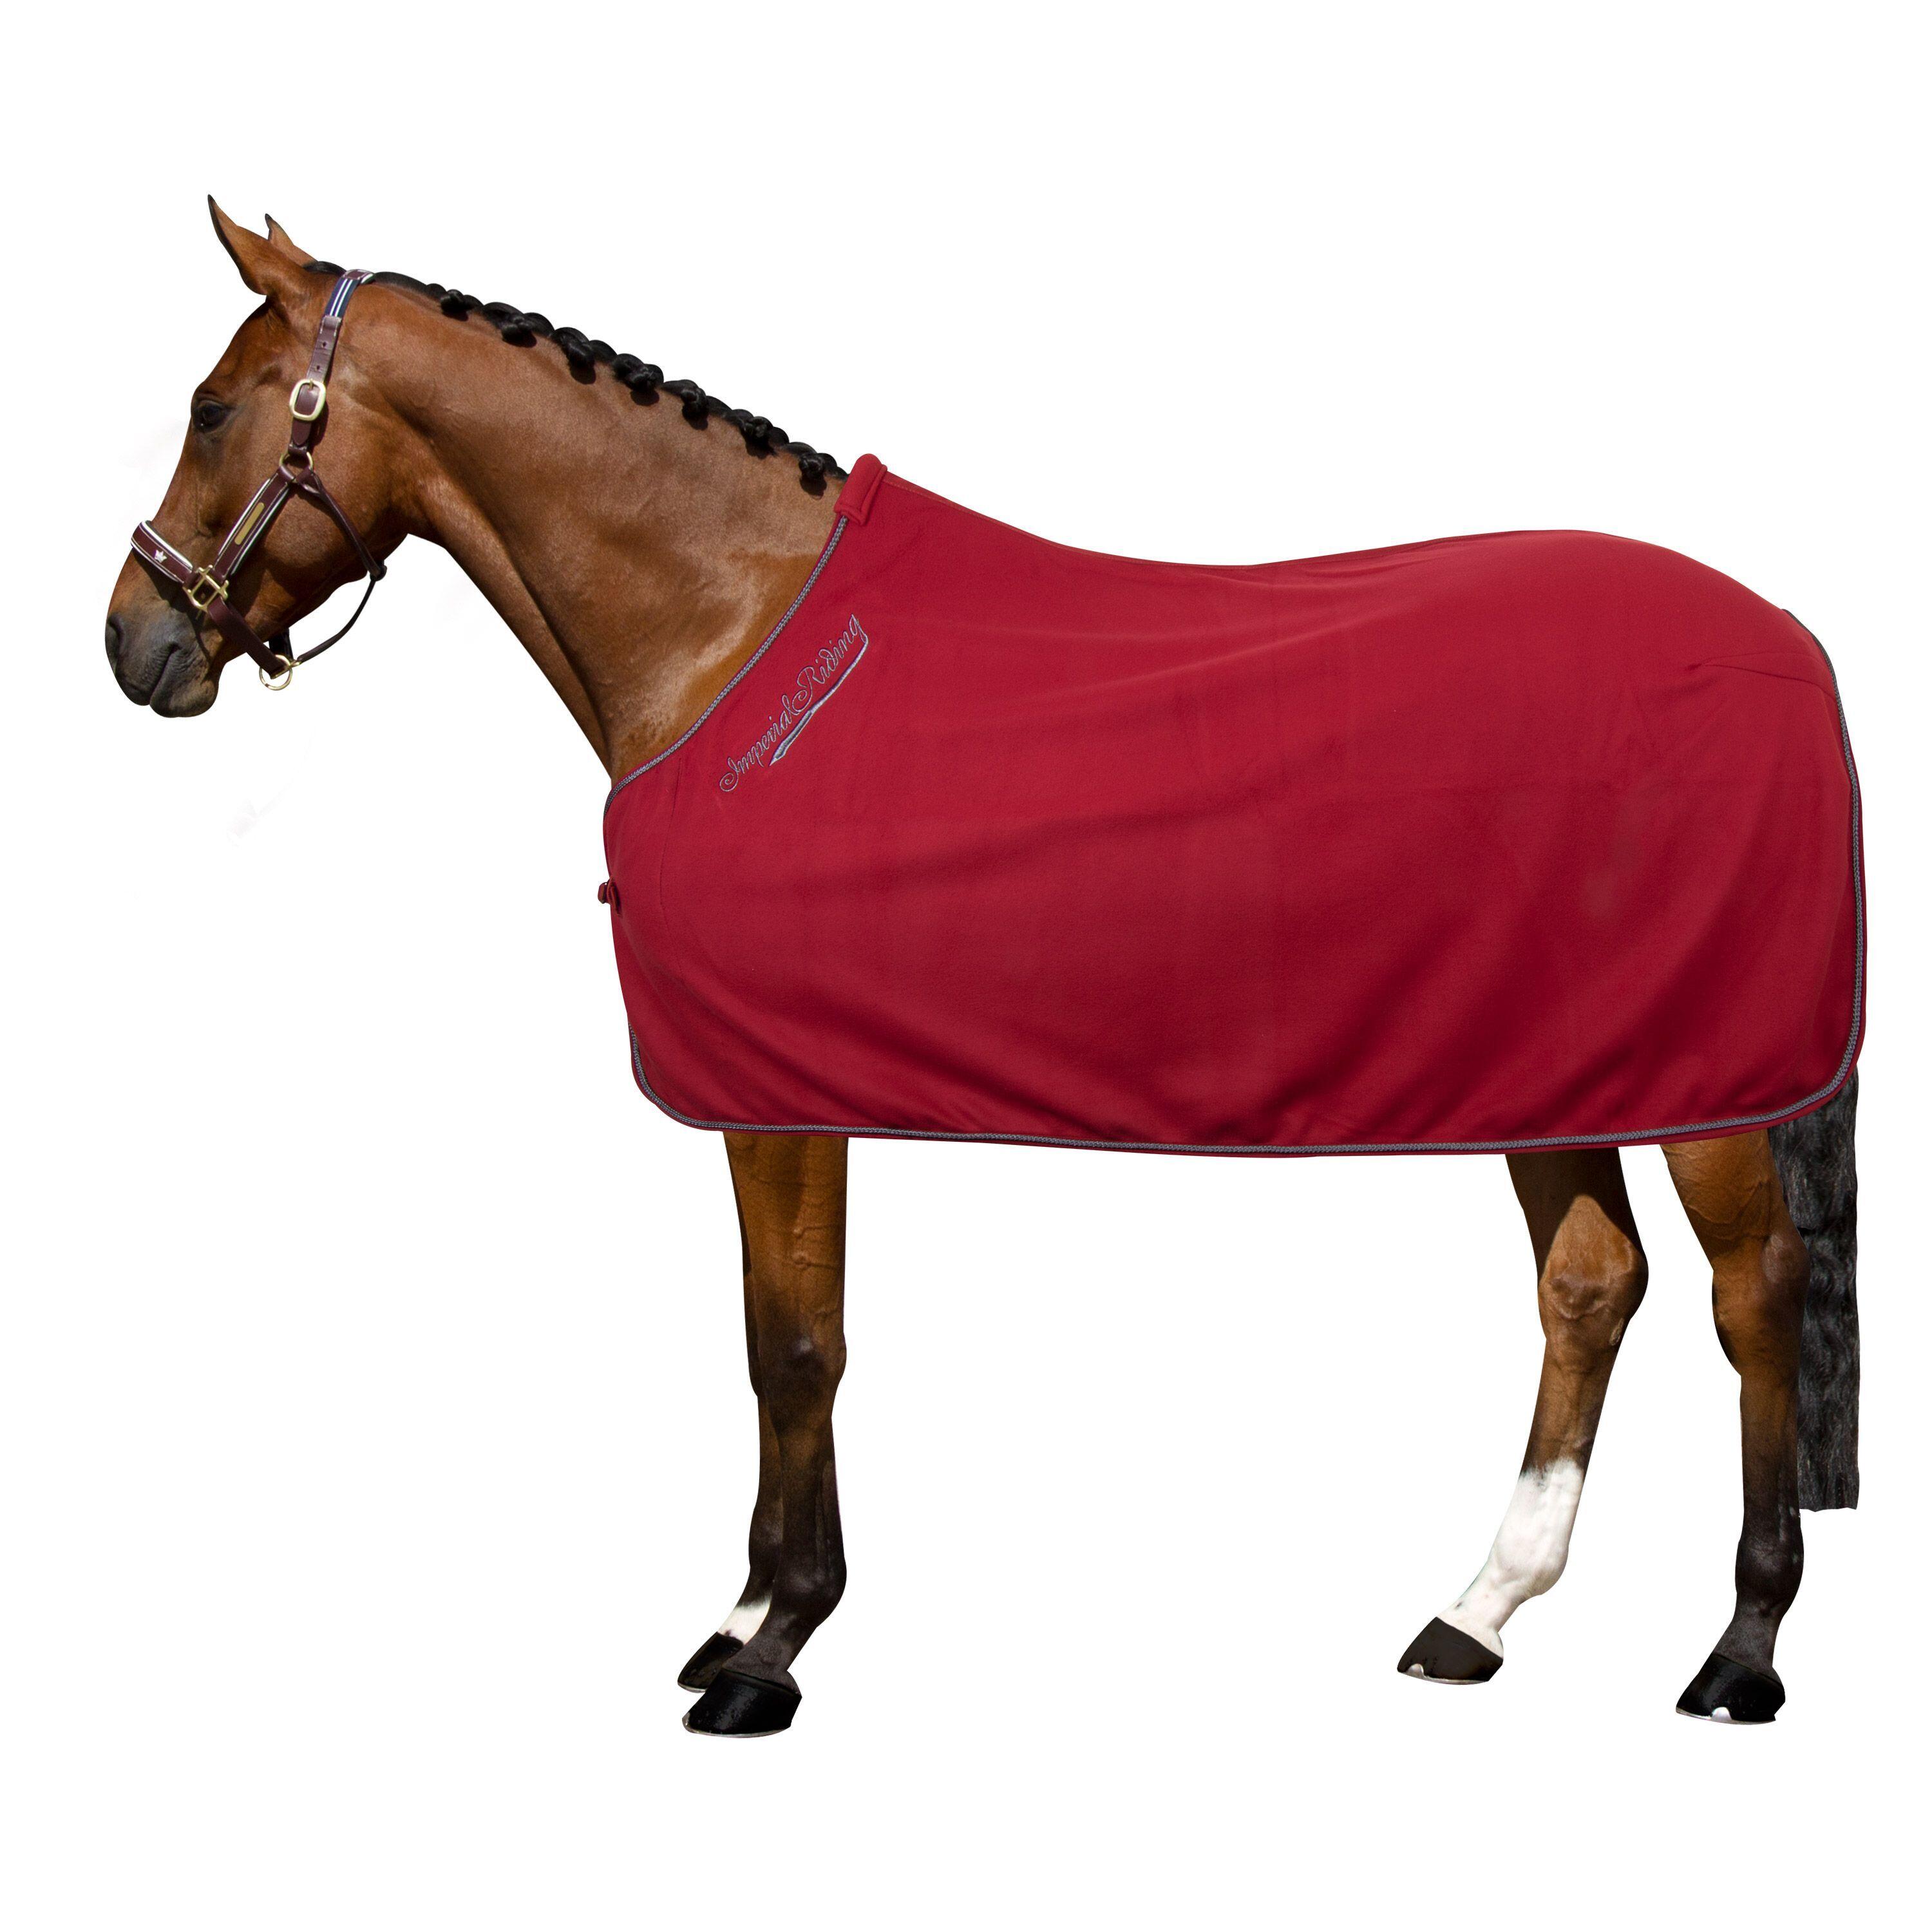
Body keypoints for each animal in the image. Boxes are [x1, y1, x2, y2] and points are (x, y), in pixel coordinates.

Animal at [105, 203, 1862, 1738]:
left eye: (211, 408)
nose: (135, 642)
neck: (724, 624)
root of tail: (1790, 639)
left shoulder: (779, 1093)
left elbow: (797, 1346)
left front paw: (773, 1651)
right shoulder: (774, 1087)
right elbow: (776, 1330)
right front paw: (741, 1621)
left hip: (1701, 1084)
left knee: (1753, 1296)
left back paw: (1740, 1649)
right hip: (1553, 1060)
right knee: (1590, 1285)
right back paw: (1474, 1614)